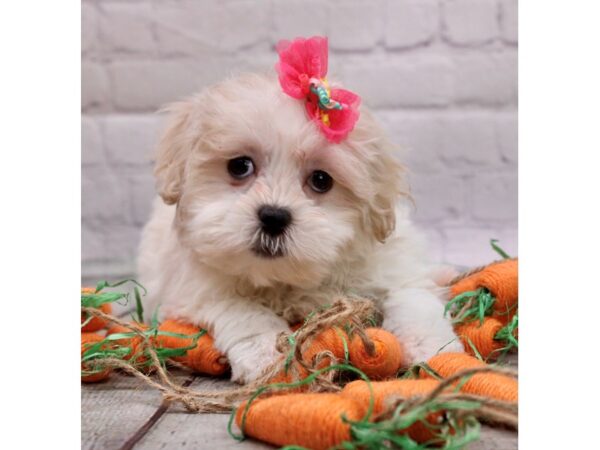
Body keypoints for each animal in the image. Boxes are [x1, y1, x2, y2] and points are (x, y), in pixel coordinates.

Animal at [137, 72, 464, 382]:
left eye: (321, 180)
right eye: (239, 166)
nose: (273, 216)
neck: (287, 281)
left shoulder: (393, 264)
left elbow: (412, 297)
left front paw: (433, 347)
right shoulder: (196, 287)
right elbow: (242, 310)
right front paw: (267, 353)